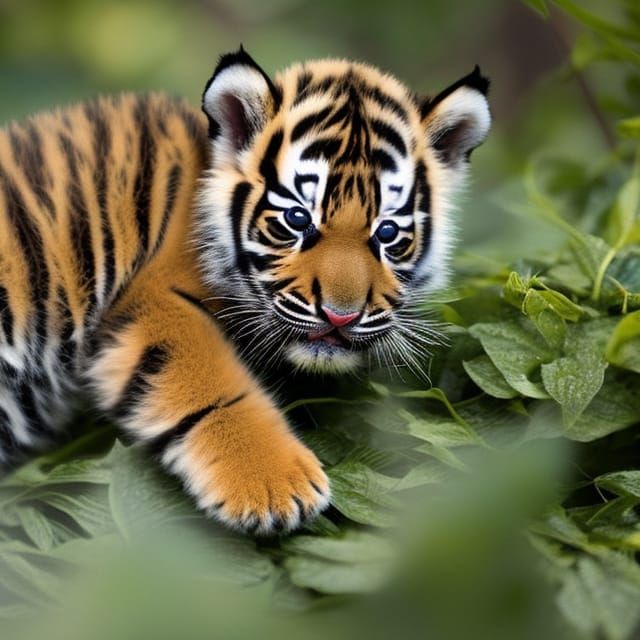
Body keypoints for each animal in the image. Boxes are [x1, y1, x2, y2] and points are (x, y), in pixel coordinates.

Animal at [0, 48, 490, 535]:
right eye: (297, 219)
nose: (341, 316)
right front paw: (277, 486)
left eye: (387, 233)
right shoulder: (158, 298)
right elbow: (214, 385)